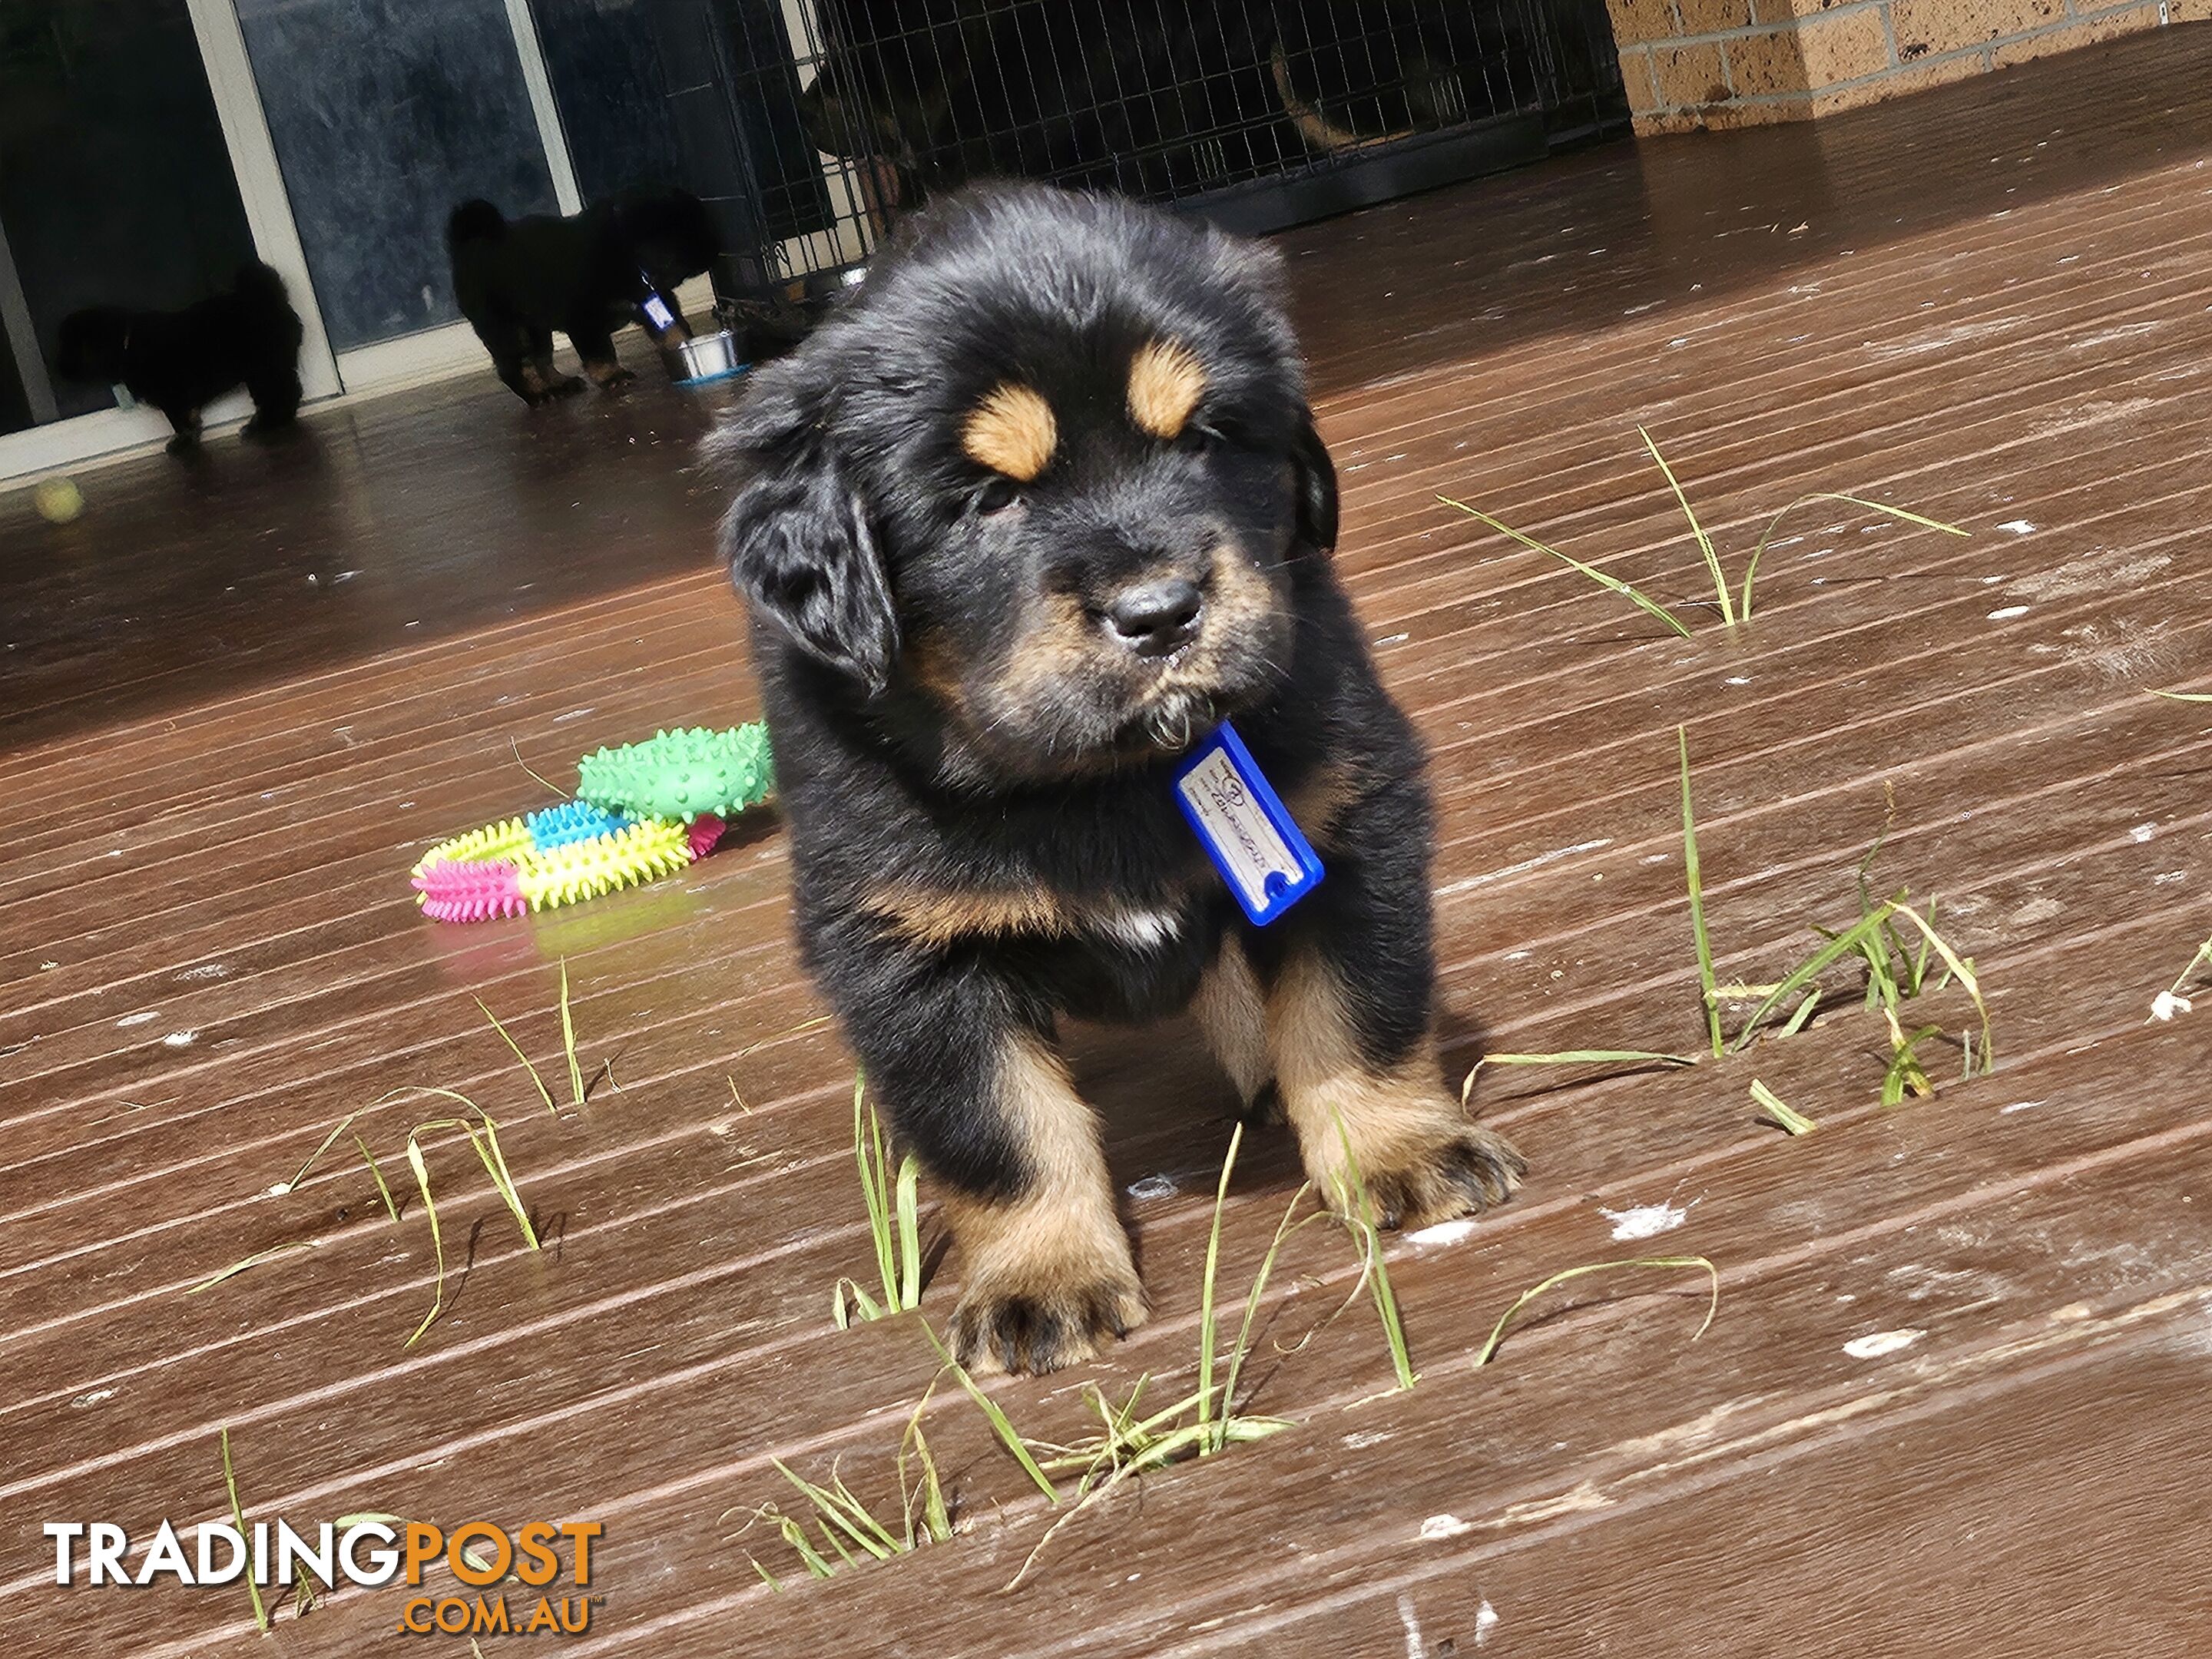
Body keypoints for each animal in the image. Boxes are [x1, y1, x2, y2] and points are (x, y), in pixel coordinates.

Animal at [57, 267, 303, 462]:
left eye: (70, 348)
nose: (59, 371)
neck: (127, 344)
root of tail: (268, 297)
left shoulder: (171, 397)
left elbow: (178, 422)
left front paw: (182, 442)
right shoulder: (179, 399)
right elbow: (190, 418)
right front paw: (190, 437)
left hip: (264, 369)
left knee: (281, 393)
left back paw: (266, 423)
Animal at [449, 187, 717, 406]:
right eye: (689, 235)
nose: (713, 249)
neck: (622, 252)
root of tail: (467, 245)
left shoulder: (655, 304)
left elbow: (673, 330)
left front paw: (685, 344)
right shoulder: (584, 322)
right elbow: (600, 355)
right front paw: (613, 377)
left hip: (537, 329)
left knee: (542, 360)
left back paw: (560, 384)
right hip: (510, 331)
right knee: (516, 368)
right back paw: (538, 394)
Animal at [707, 184, 1522, 1380]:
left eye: (1205, 440)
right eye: (985, 498)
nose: (1162, 611)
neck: (1099, 779)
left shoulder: (1345, 815)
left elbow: (1353, 1013)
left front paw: (1400, 1152)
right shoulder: (908, 948)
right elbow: (1002, 1128)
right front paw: (1041, 1280)